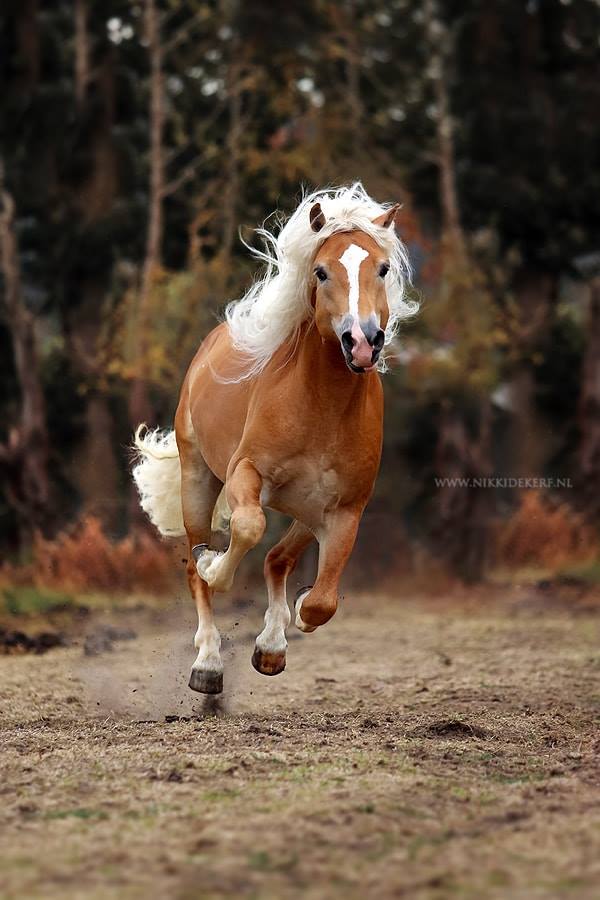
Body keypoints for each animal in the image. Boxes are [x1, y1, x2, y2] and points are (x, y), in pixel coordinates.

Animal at [132, 181, 414, 688]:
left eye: (382, 269)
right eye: (321, 271)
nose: (363, 343)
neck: (322, 407)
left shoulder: (345, 510)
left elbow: (322, 601)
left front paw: (284, 628)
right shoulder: (247, 473)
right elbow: (245, 530)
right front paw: (217, 568)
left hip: (304, 509)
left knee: (276, 559)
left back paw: (272, 642)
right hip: (198, 478)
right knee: (194, 567)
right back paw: (207, 661)